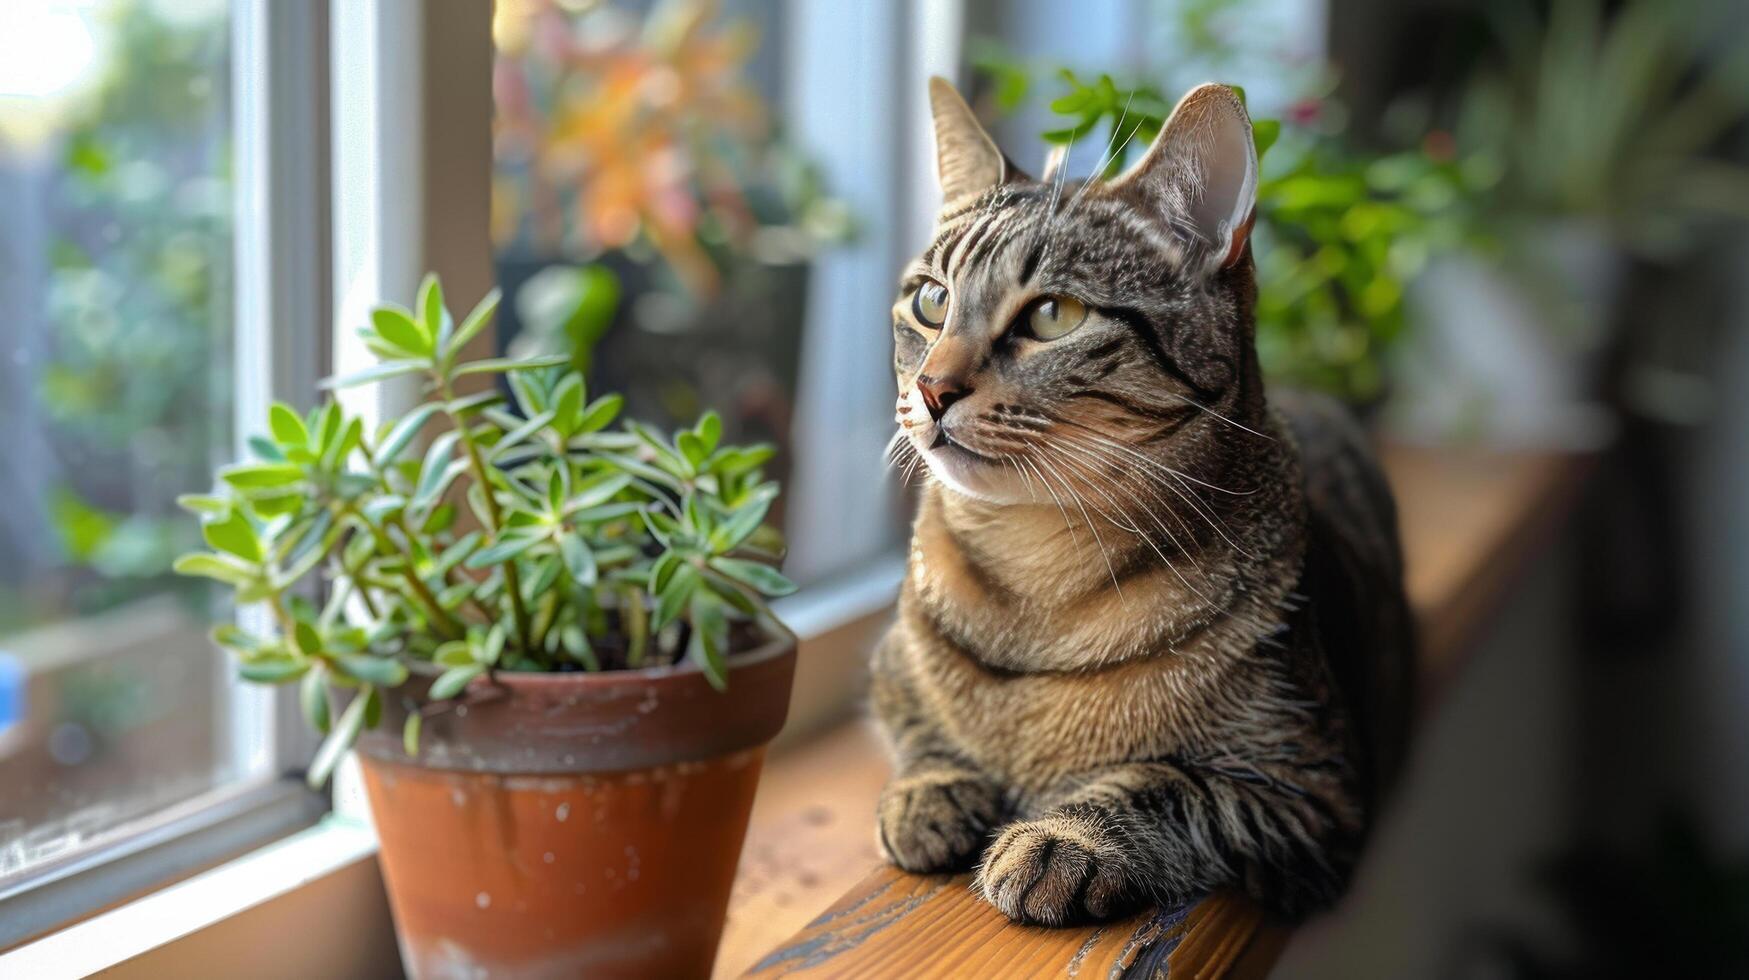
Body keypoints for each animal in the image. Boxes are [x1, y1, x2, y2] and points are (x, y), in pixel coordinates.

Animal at [867, 78, 1413, 924]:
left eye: (1052, 314)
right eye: (930, 301)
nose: (930, 389)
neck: (1034, 575)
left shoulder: (1315, 790)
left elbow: (1170, 784)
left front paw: (1063, 838)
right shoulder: (890, 668)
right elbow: (916, 726)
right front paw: (931, 787)